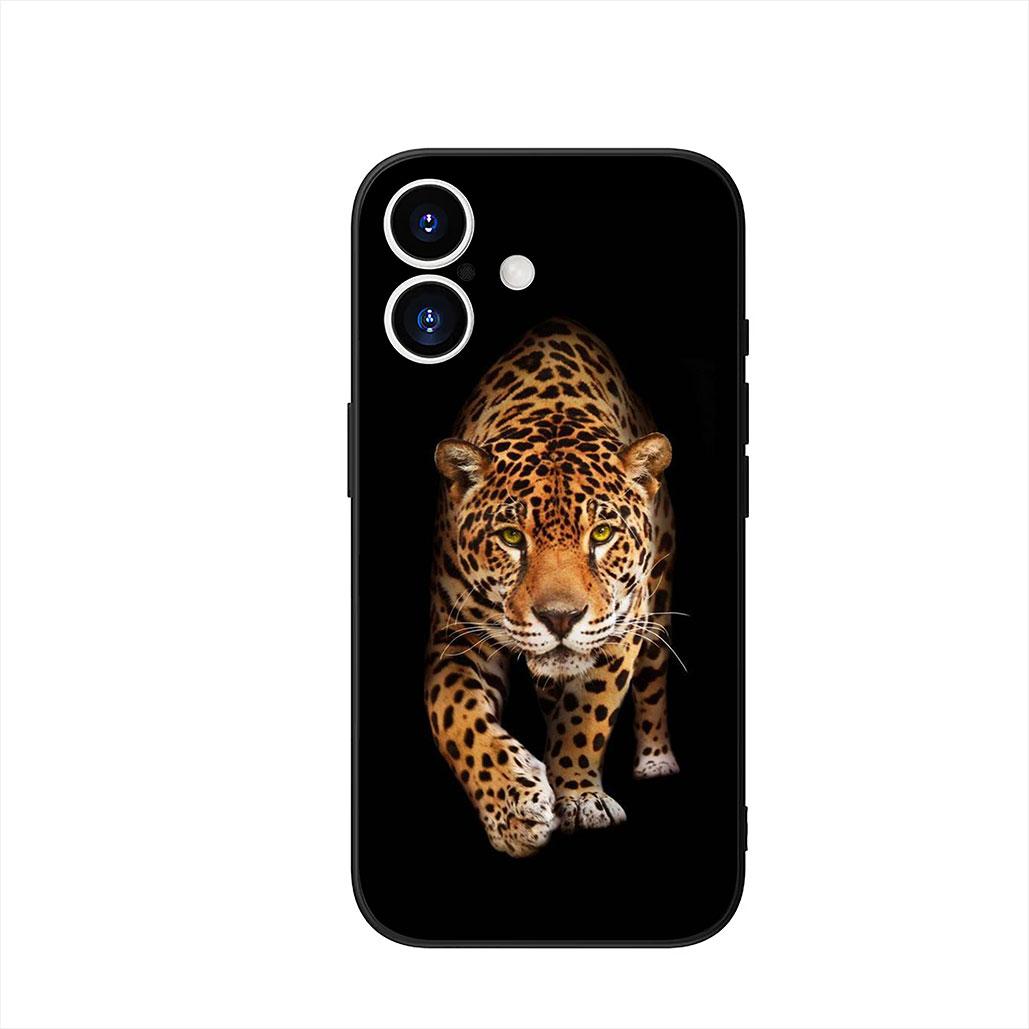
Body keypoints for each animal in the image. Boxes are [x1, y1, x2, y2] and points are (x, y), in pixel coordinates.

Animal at [424, 318, 680, 857]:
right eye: (511, 537)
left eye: (601, 534)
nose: (560, 618)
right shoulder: (455, 638)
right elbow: (458, 719)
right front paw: (514, 811)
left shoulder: (621, 627)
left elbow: (586, 715)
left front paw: (579, 797)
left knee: (652, 681)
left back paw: (656, 760)